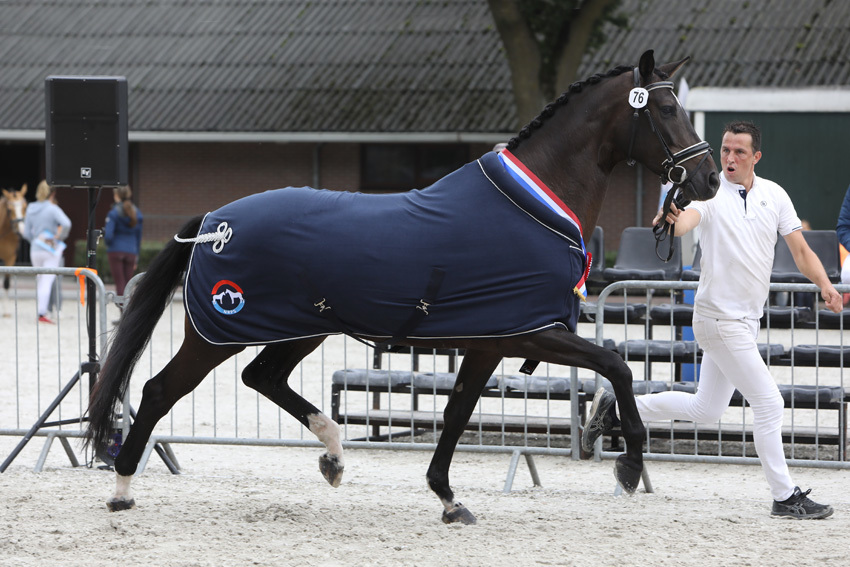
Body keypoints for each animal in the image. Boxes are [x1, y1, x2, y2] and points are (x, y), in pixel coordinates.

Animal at [86, 51, 716, 524]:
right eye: (665, 108)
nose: (708, 179)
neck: (534, 203)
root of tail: (214, 221)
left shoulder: (491, 343)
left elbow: (458, 413)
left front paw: (448, 497)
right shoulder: (531, 333)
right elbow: (616, 365)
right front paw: (629, 464)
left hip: (301, 328)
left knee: (261, 377)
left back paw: (334, 455)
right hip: (220, 331)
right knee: (159, 392)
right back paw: (121, 490)